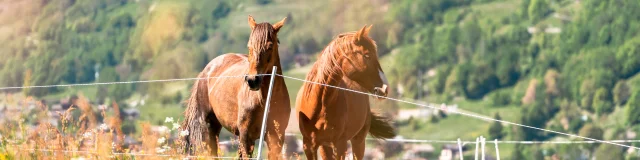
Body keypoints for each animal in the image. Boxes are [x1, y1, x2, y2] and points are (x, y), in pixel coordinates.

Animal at [180, 15, 290, 159]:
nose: (252, 80)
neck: (265, 100)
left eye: (270, 46)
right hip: (208, 129)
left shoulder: (276, 138)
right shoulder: (246, 137)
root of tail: (206, 70)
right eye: (249, 46)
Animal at [296, 25, 396, 160]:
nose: (385, 88)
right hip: (325, 146)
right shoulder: (309, 146)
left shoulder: (340, 145)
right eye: (367, 55)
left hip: (358, 141)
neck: (320, 105)